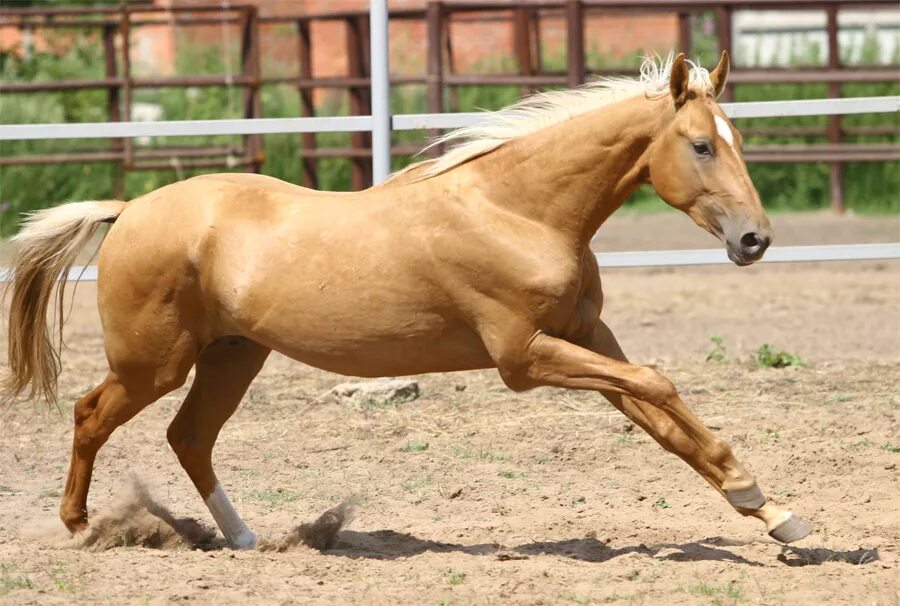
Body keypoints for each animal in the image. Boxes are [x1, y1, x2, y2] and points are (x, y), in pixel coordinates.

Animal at [3, 53, 812, 552]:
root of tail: (128, 209)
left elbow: (661, 417)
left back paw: (246, 539)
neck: (517, 210)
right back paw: (78, 526)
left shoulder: (587, 339)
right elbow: (659, 385)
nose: (754, 240)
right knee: (92, 415)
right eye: (702, 145)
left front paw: (774, 514)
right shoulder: (524, 358)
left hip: (234, 356)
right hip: (154, 362)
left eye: (735, 140)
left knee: (189, 437)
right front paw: (758, 496)